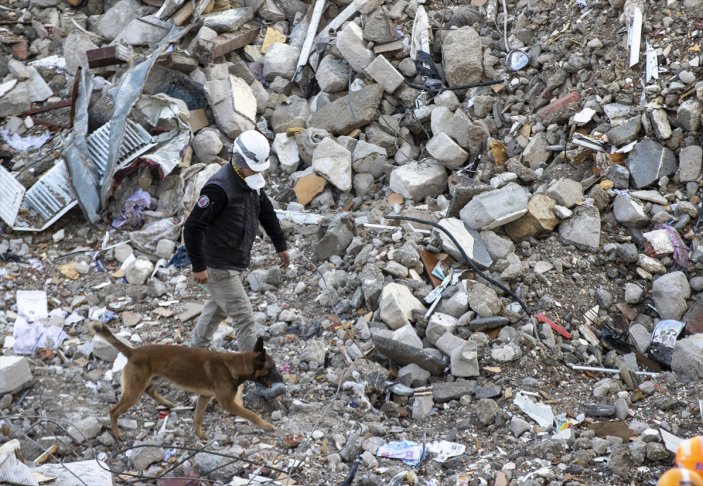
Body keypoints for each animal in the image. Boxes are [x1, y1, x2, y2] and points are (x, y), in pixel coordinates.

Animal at [89, 322, 282, 440]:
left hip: (157, 379)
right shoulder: (227, 403)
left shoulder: (204, 397)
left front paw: (199, 434)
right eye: (272, 369)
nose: (282, 380)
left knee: (150, 390)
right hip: (133, 393)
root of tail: (133, 352)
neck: (234, 365)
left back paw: (167, 403)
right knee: (114, 411)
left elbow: (198, 417)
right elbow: (251, 414)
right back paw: (117, 433)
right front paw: (267, 426)